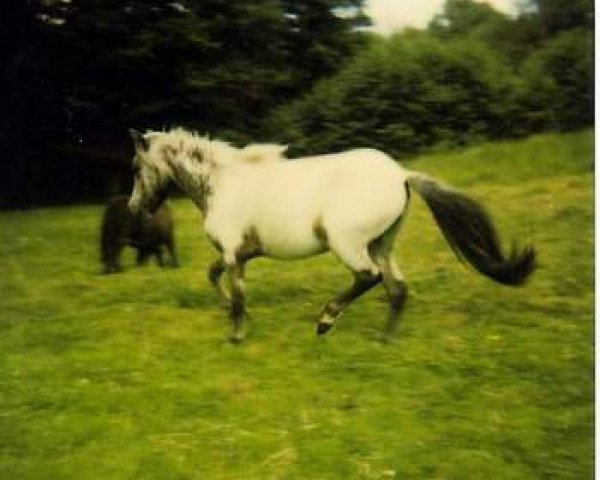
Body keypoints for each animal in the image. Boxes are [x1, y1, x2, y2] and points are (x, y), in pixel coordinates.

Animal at [126, 126, 536, 342]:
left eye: (135, 166)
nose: (133, 209)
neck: (220, 186)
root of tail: (401, 174)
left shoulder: (232, 254)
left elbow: (237, 292)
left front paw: (237, 334)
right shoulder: (238, 253)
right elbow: (212, 276)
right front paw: (230, 312)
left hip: (347, 244)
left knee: (368, 277)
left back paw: (326, 321)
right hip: (382, 243)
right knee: (397, 288)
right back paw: (385, 339)